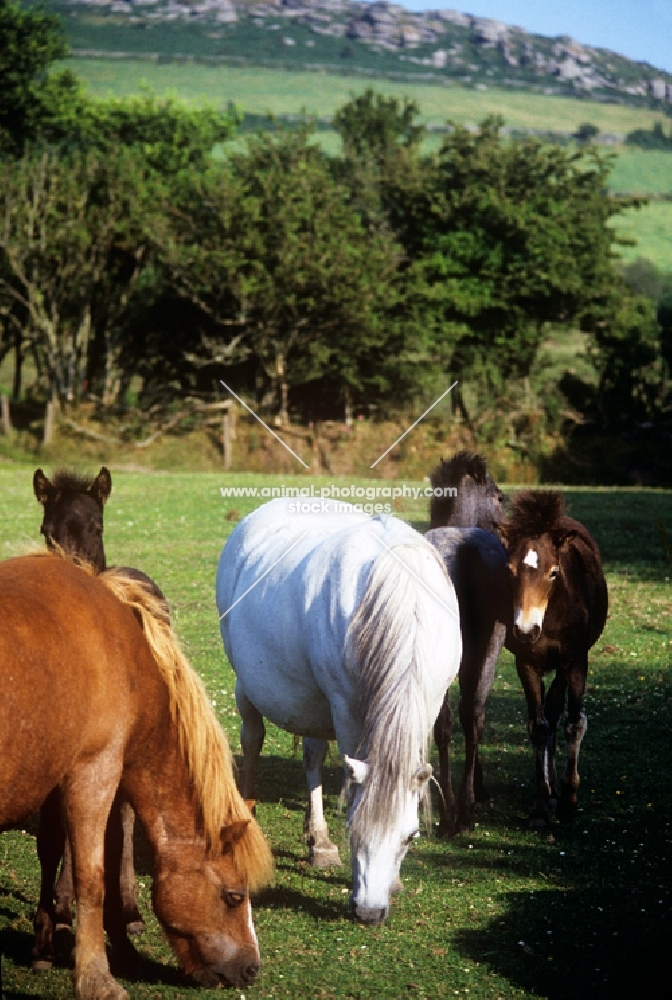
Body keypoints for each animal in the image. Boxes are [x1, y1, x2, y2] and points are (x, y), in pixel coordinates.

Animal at [0, 556, 272, 1000]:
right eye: (234, 897)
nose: (251, 970)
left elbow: (59, 851)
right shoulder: (95, 771)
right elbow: (92, 877)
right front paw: (96, 978)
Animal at [215, 496, 462, 924]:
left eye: (410, 836)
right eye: (354, 829)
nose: (369, 913)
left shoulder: (428, 704)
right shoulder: (345, 708)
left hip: (314, 701)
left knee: (312, 755)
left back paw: (316, 838)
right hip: (249, 684)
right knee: (252, 738)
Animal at [504, 492, 608, 828]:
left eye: (553, 572)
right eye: (510, 571)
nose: (526, 631)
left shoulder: (574, 660)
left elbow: (573, 723)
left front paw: (569, 799)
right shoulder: (526, 663)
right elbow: (538, 727)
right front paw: (540, 803)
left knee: (558, 711)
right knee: (547, 717)